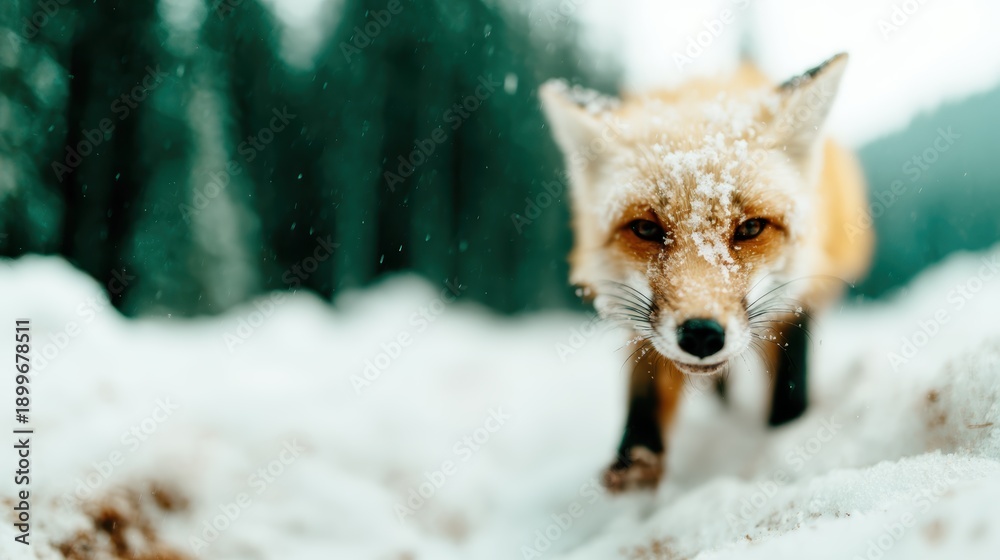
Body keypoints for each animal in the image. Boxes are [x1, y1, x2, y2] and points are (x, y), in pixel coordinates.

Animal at [539, 54, 874, 491]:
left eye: (750, 228)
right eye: (645, 229)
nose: (701, 334)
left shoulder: (801, 301)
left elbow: (790, 380)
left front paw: (783, 439)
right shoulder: (645, 330)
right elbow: (645, 391)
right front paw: (636, 464)